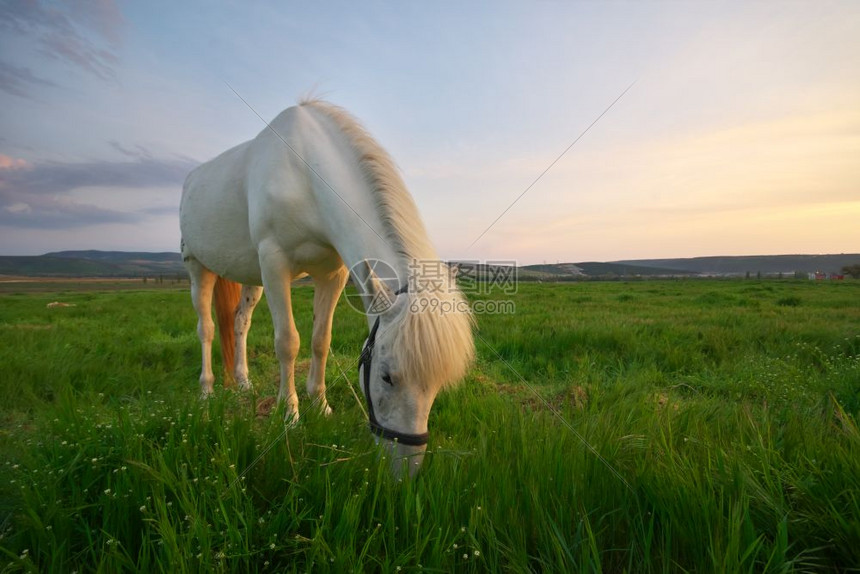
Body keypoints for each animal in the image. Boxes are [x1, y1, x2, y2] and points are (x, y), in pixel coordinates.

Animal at [178, 99, 474, 474]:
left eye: (437, 385)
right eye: (386, 377)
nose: (405, 471)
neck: (305, 172)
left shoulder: (332, 274)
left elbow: (321, 340)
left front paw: (320, 405)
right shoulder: (274, 264)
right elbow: (287, 342)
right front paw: (289, 413)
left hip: (250, 277)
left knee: (239, 322)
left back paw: (243, 381)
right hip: (198, 268)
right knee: (206, 328)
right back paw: (206, 391)